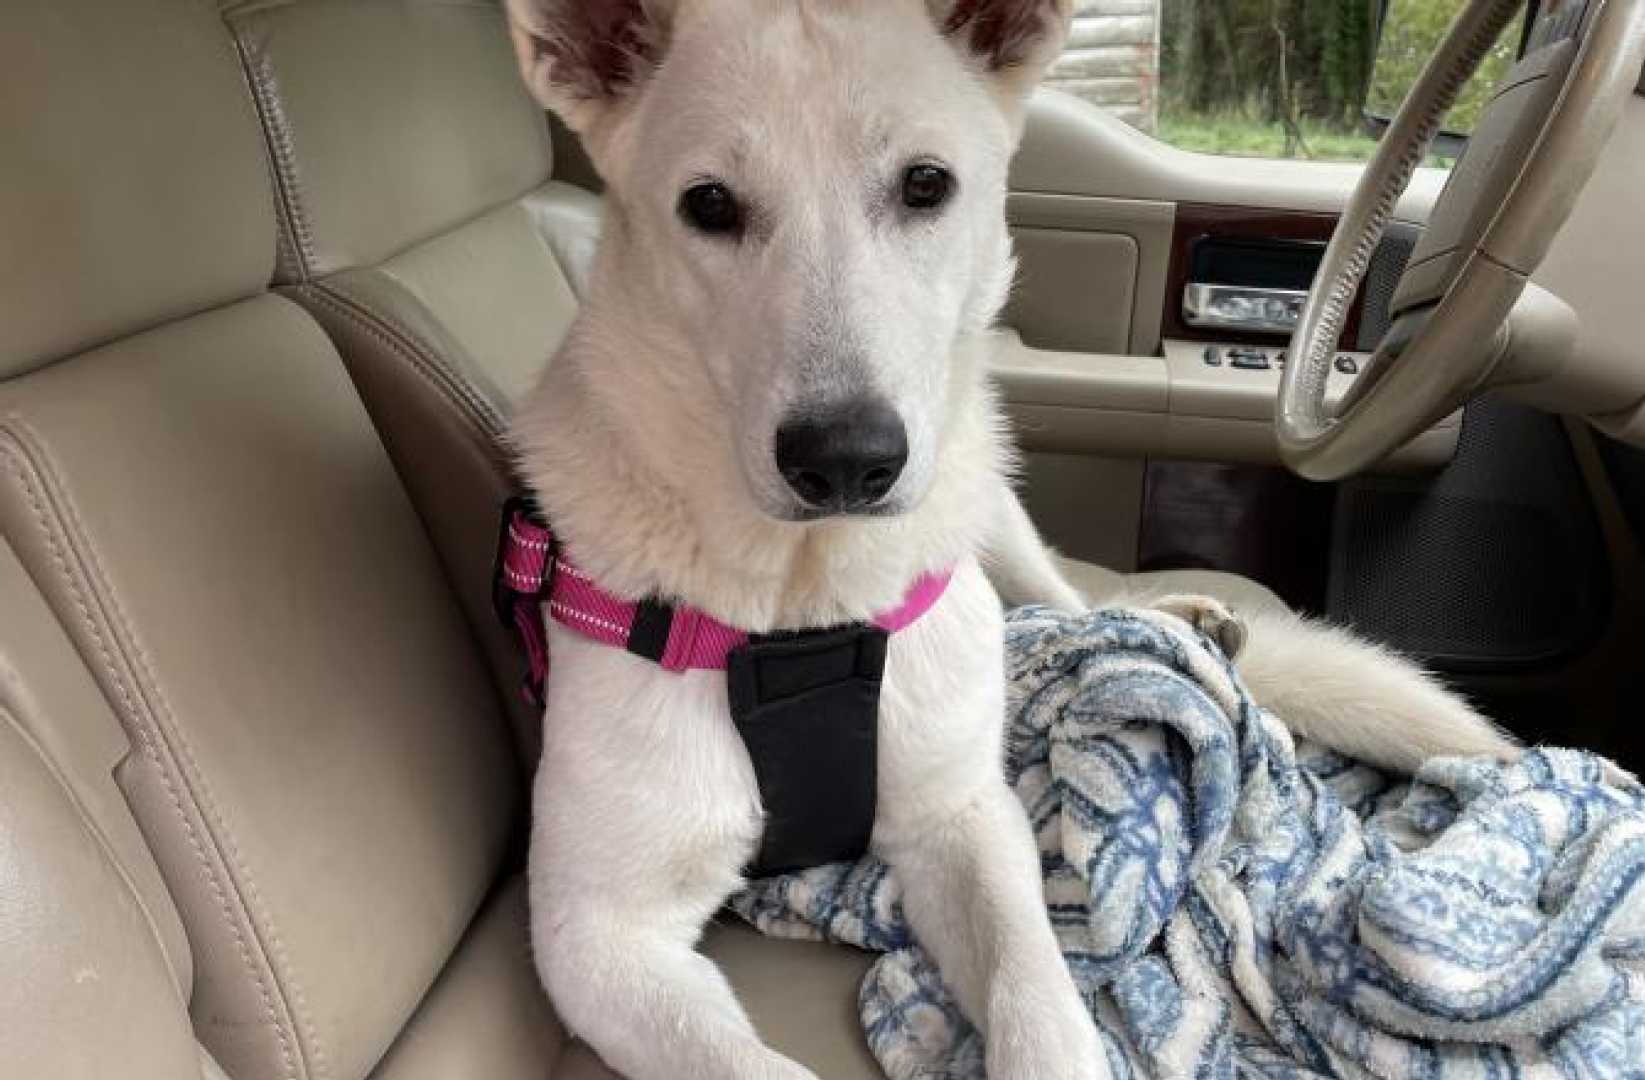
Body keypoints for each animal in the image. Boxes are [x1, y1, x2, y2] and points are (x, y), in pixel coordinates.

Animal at [499, 2, 1518, 1077]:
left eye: (924, 186)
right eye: (707, 205)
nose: (846, 461)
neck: (804, 618)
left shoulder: (965, 821)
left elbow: (1033, 987)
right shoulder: (594, 937)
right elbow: (745, 1063)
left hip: (993, 506)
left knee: (1075, 608)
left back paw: (1191, 626)